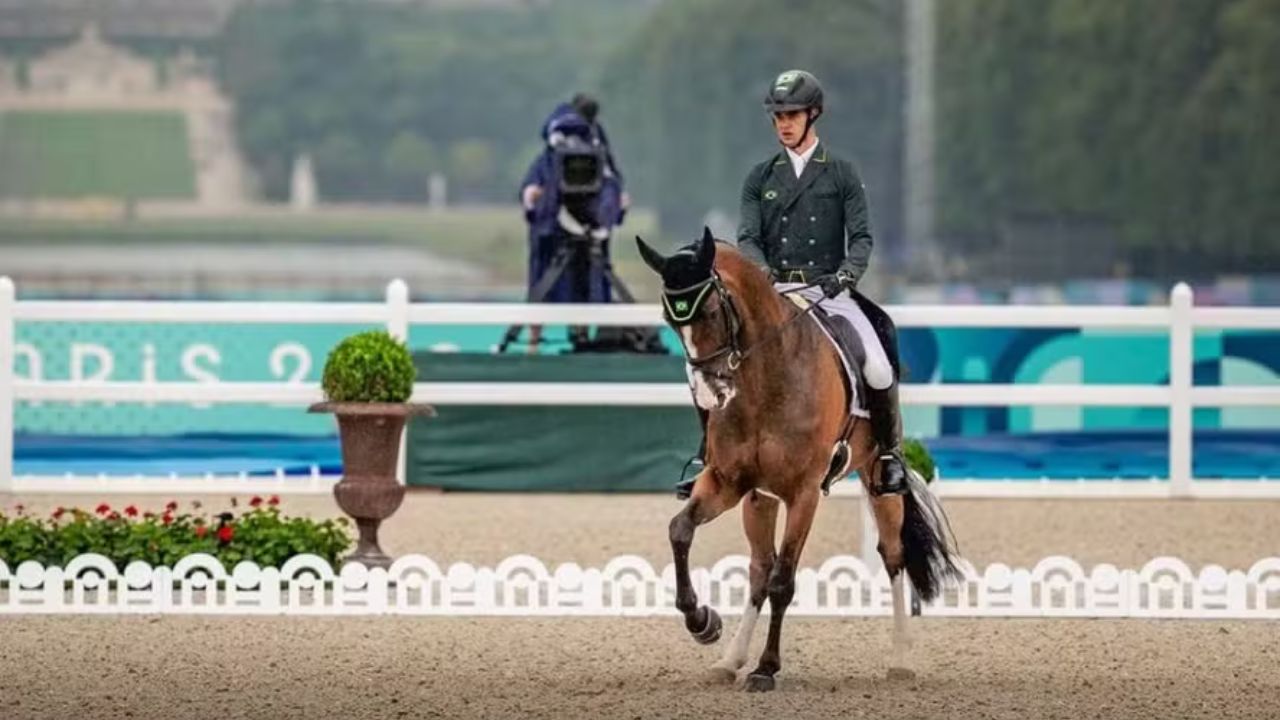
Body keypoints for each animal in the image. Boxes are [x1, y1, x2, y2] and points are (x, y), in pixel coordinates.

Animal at [636, 228, 960, 692]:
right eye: (669, 319)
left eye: (712, 311)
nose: (710, 395)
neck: (765, 379)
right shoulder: (728, 482)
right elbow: (681, 531)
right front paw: (702, 622)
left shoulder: (803, 493)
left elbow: (783, 581)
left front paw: (766, 668)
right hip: (759, 498)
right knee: (758, 569)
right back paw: (729, 659)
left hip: (876, 477)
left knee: (892, 554)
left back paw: (900, 657)